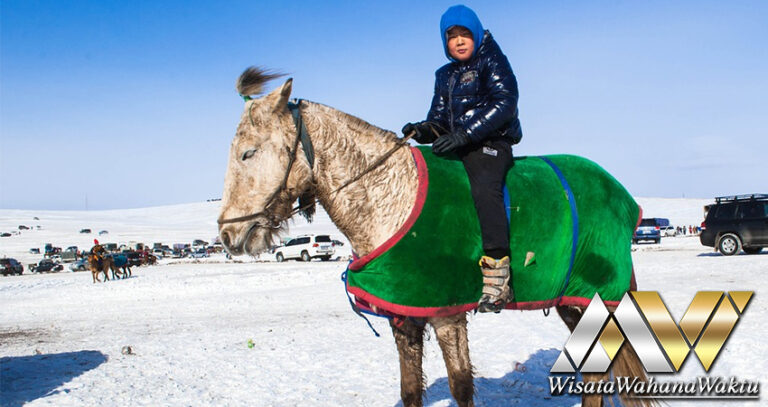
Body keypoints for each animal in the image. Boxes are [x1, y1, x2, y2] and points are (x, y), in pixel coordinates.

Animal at [218, 67, 656, 407]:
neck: (391, 195)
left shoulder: (447, 314)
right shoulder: (404, 317)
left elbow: (461, 385)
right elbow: (411, 389)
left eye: (248, 153)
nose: (228, 233)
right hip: (576, 301)